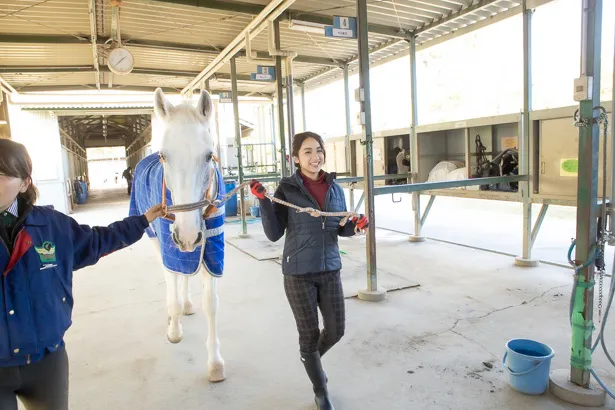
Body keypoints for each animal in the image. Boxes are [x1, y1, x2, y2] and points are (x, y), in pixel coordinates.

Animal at [131, 88, 227, 382]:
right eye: (164, 156)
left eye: (208, 156)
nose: (187, 234)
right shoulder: (168, 245)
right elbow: (171, 287)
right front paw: (174, 332)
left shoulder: (210, 249)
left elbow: (211, 304)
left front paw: (215, 363)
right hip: (155, 238)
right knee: (171, 281)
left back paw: (187, 303)